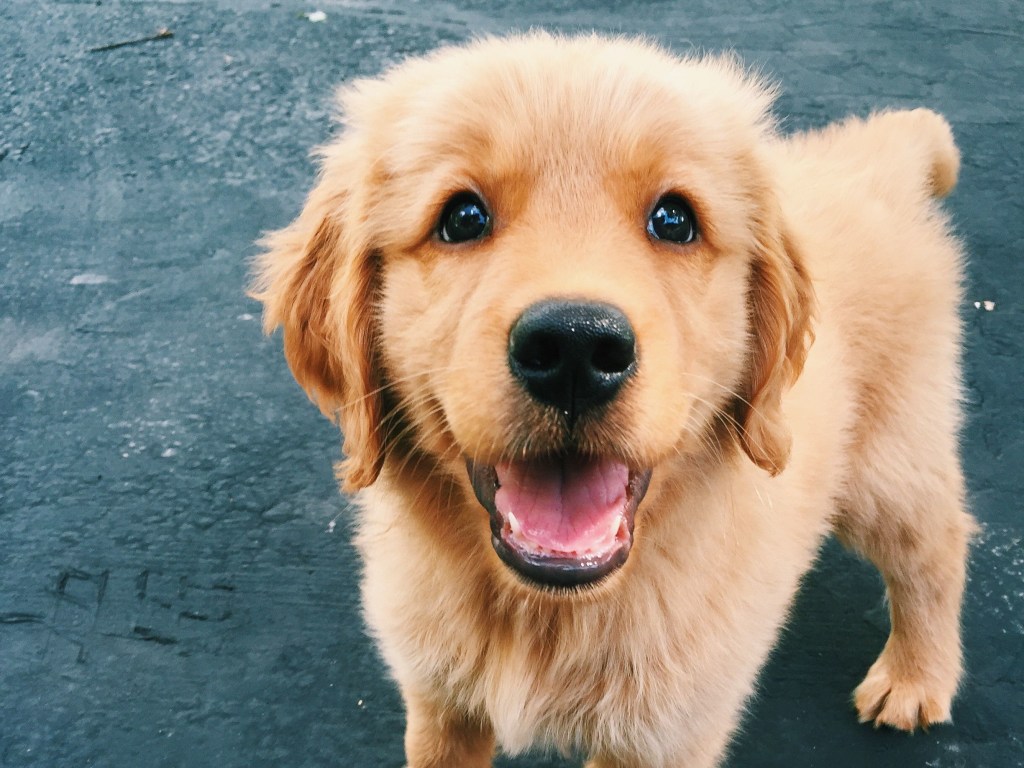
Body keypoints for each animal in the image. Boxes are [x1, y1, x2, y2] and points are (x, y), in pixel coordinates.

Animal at [251, 31, 970, 768]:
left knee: (938, 540)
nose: (574, 349)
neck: (550, 610)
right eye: (462, 218)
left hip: (887, 461)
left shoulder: (667, 735)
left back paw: (916, 676)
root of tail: (867, 162)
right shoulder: (439, 704)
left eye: (675, 219)